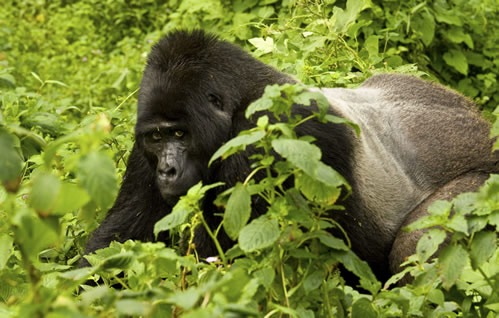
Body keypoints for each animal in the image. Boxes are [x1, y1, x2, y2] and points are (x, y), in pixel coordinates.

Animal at [84, 30, 498, 284]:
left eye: (180, 134)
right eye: (158, 137)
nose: (167, 170)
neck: (239, 100)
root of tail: (482, 123)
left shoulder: (266, 138)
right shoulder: (143, 149)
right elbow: (117, 238)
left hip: (485, 183)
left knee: (414, 248)